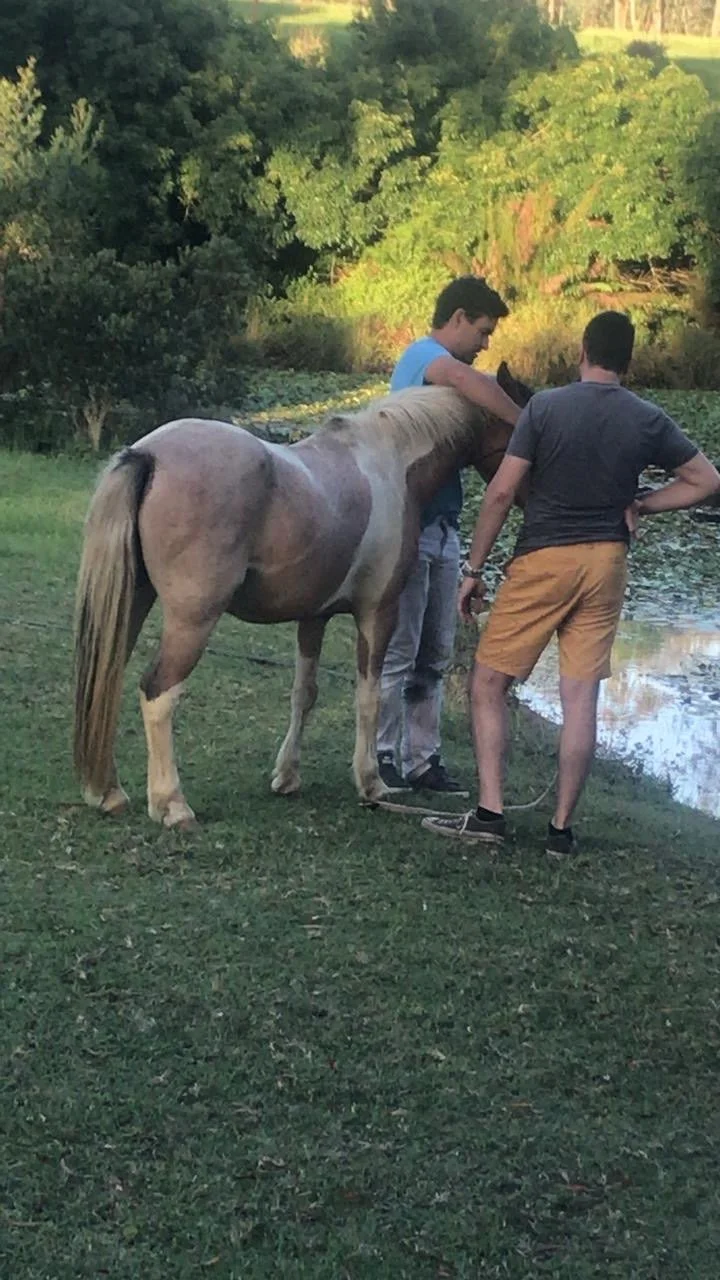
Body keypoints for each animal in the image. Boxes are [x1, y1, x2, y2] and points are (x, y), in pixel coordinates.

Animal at [73, 364, 531, 829]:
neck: (392, 463)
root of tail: (147, 455)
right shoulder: (377, 613)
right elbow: (370, 696)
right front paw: (371, 783)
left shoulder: (314, 616)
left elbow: (304, 694)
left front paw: (287, 776)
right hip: (191, 622)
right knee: (157, 693)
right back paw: (172, 804)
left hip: (131, 604)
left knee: (106, 677)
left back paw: (108, 792)